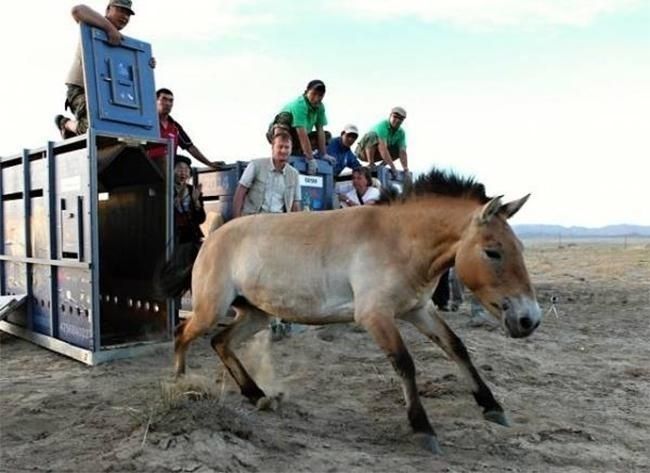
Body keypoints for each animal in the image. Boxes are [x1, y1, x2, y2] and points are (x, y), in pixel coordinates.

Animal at [159, 168, 540, 452]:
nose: (529, 320)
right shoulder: (375, 316)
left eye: (519, 248)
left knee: (220, 342)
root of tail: (210, 239)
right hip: (212, 308)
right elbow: (405, 363)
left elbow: (457, 348)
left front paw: (492, 407)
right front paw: (422, 428)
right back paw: (179, 385)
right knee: (183, 334)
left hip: (255, 313)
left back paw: (256, 395)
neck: (399, 239)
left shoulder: (419, 310)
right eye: (493, 251)